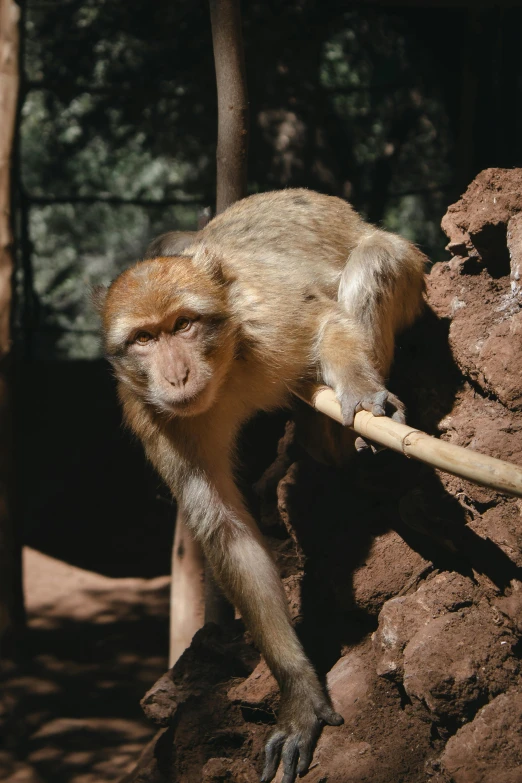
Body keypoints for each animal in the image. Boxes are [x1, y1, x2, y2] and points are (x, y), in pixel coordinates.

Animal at [95, 190, 424, 783]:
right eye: (144, 338)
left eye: (183, 324)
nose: (176, 376)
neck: (227, 363)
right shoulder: (151, 414)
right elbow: (226, 531)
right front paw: (298, 692)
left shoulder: (269, 322)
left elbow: (326, 322)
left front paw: (362, 394)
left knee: (375, 261)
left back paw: (334, 437)